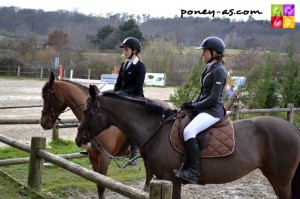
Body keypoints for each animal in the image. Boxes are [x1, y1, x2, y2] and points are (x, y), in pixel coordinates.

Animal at [40, 72, 171, 198]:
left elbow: (102, 185)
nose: (43, 123)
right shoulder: (92, 156)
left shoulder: (104, 158)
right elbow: (98, 182)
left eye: (46, 96)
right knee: (149, 173)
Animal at [75, 88, 300, 199]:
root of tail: (293, 128)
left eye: (86, 111)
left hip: (281, 179)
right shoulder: (168, 180)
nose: (78, 139)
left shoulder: (169, 179)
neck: (156, 129)